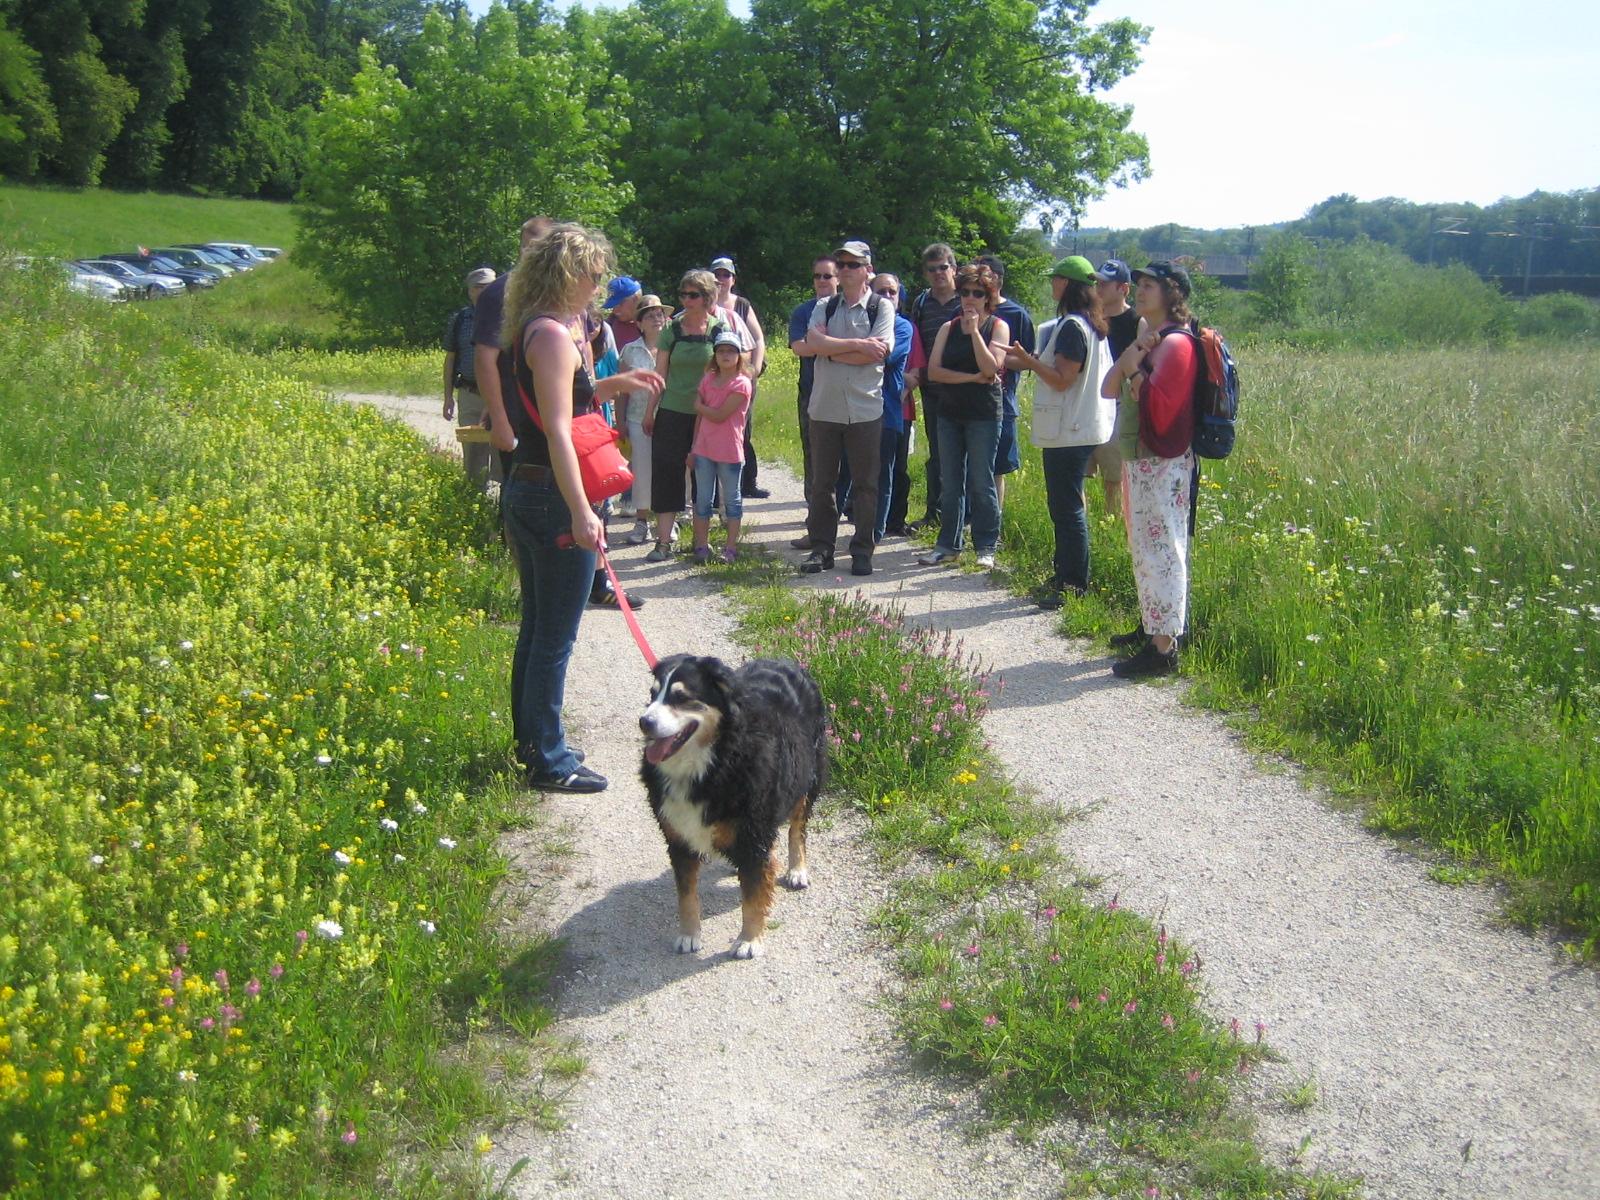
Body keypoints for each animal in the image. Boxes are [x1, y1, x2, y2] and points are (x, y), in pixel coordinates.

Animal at [640, 652, 832, 966]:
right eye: (653, 694)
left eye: (681, 697)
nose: (644, 722)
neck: (710, 762)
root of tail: (784, 659)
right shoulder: (679, 839)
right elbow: (686, 895)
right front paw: (689, 935)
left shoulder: (754, 837)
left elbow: (753, 898)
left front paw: (749, 941)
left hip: (808, 774)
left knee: (797, 828)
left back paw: (797, 869)